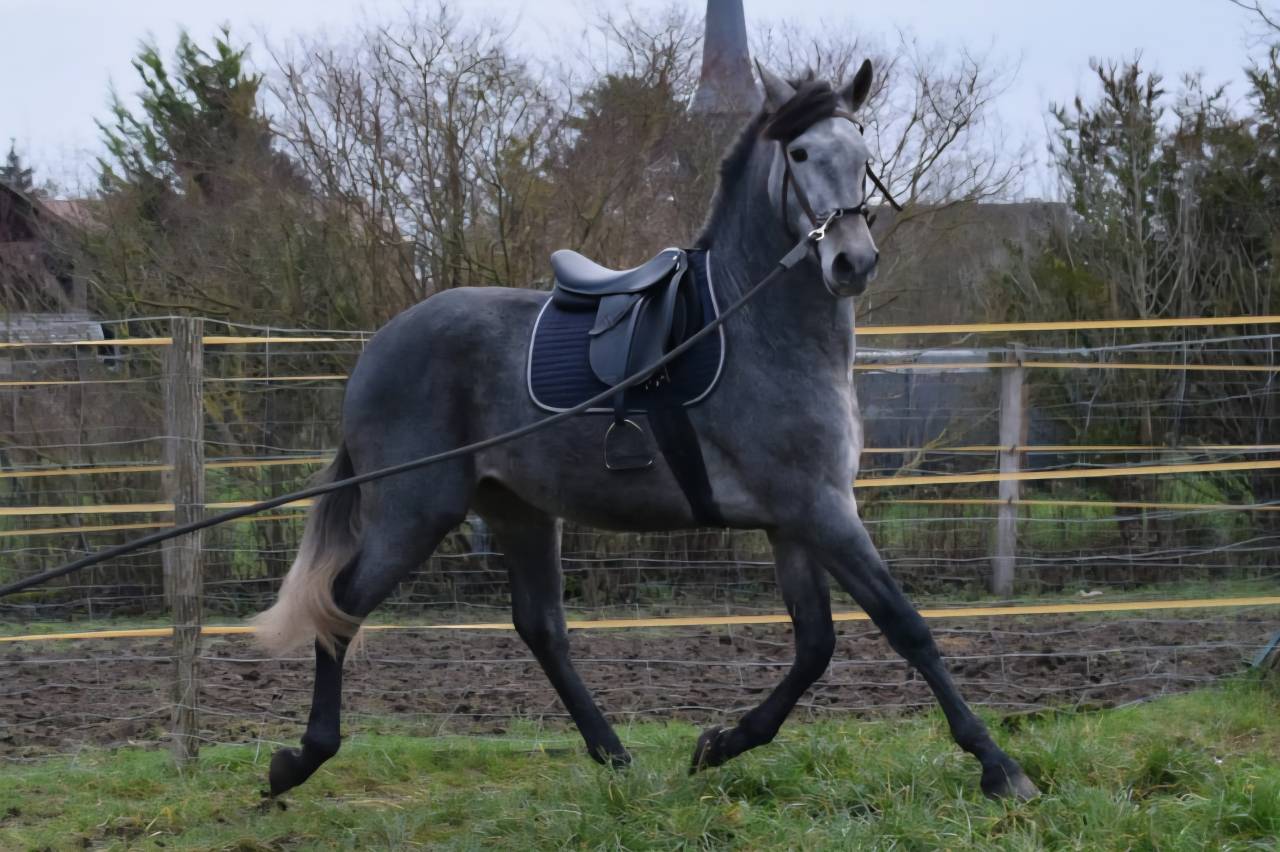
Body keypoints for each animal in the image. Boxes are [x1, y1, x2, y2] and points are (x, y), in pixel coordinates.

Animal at [253, 61, 1040, 802]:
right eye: (801, 152)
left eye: (862, 148)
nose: (852, 262)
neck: (758, 330)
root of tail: (381, 345)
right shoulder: (822, 511)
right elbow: (906, 626)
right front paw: (999, 766)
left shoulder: (793, 521)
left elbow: (815, 645)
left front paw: (721, 744)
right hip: (416, 509)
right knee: (343, 603)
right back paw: (301, 759)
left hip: (517, 510)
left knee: (541, 627)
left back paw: (615, 757)